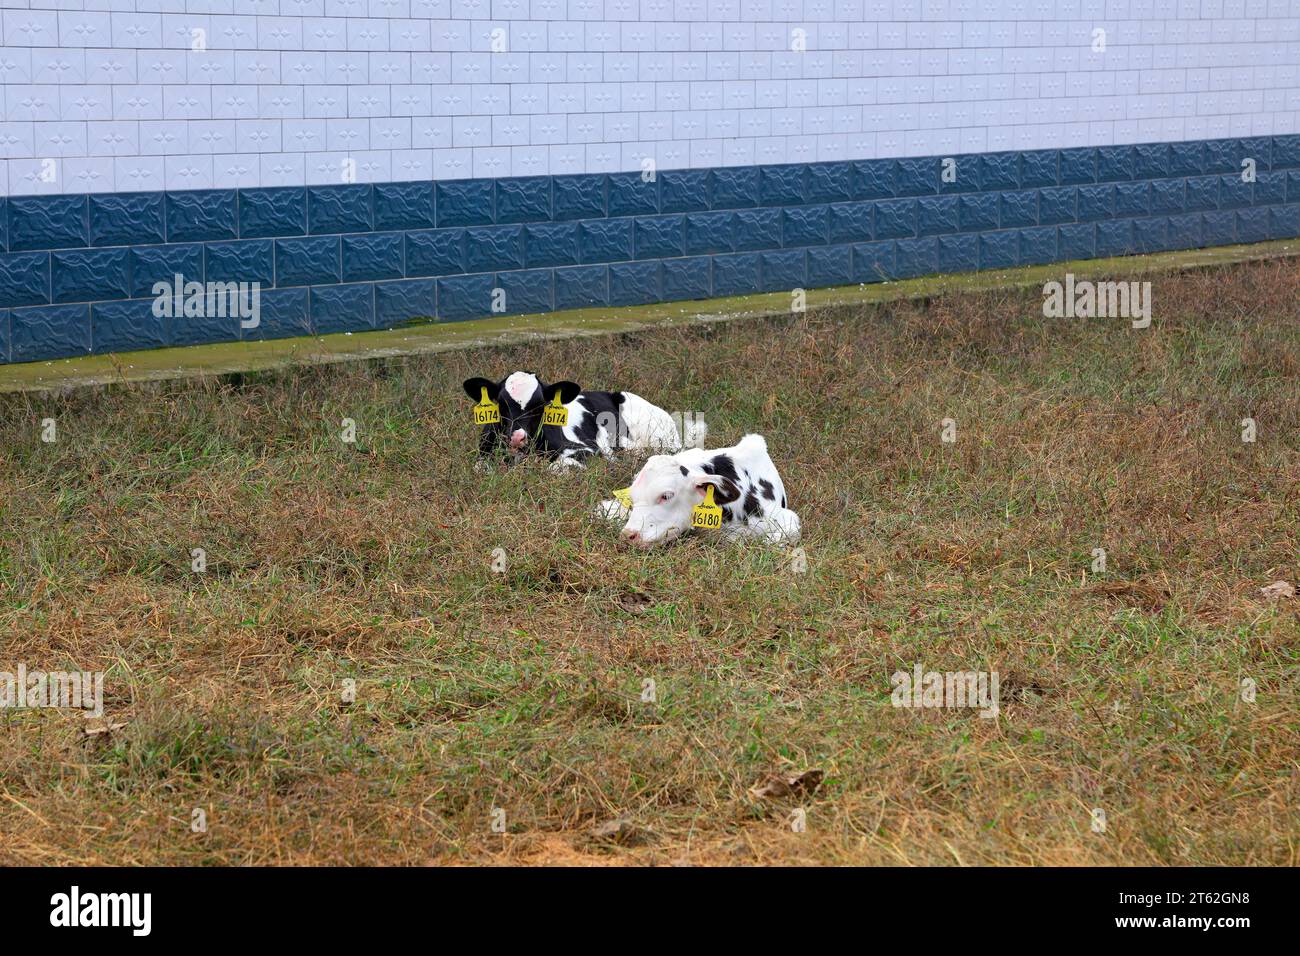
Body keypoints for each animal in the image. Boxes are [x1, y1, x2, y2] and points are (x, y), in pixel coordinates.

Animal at [462, 371, 707, 469]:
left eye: (541, 405)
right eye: (501, 403)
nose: (517, 438)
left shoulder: (588, 450)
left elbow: (555, 467)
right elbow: (481, 466)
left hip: (661, 438)